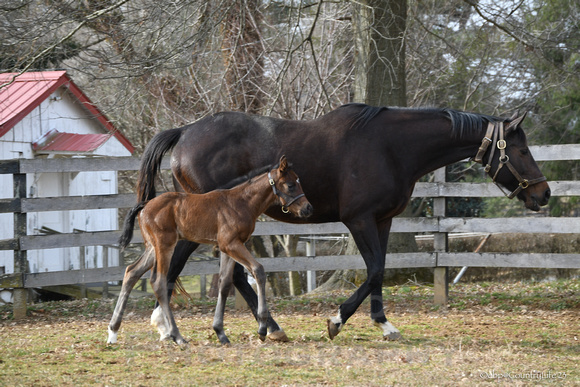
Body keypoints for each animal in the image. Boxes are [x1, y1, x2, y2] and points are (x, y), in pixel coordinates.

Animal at [106, 156, 310, 344]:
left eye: (299, 181)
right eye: (291, 185)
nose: (308, 208)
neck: (241, 202)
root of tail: (145, 205)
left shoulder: (228, 247)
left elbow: (225, 283)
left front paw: (220, 332)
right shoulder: (231, 244)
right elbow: (258, 270)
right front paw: (262, 328)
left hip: (151, 247)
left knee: (131, 272)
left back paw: (113, 332)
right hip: (164, 245)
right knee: (158, 282)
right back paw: (177, 336)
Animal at [135, 103, 548, 342]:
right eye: (522, 150)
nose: (543, 194)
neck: (391, 146)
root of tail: (184, 132)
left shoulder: (383, 221)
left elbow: (379, 270)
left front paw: (384, 323)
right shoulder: (359, 219)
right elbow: (374, 269)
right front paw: (337, 320)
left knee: (220, 273)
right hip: (202, 221)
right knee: (189, 269)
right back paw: (174, 326)